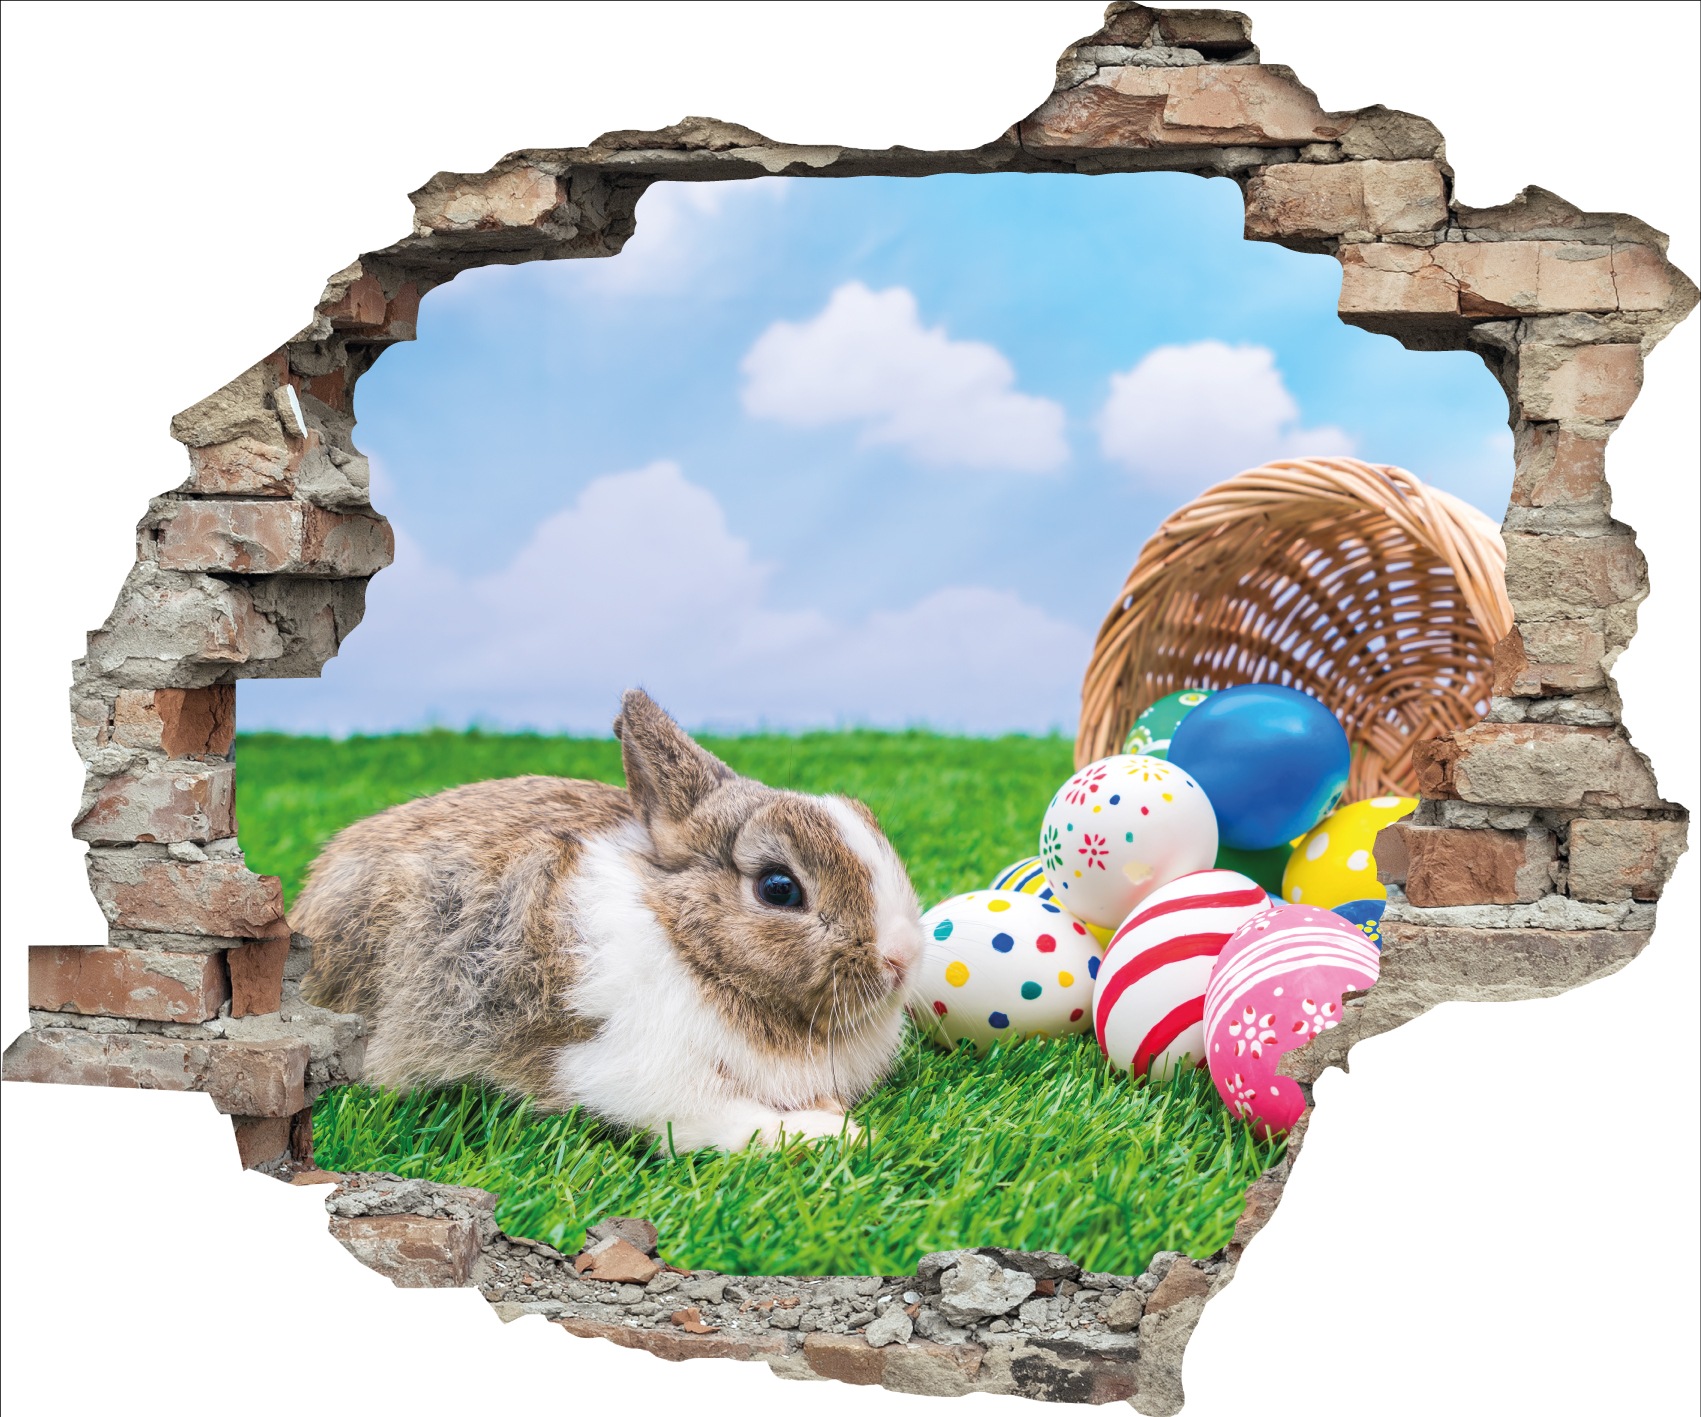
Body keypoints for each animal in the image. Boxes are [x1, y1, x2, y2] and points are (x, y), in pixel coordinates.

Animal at [295, 689, 925, 1152]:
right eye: (779, 888)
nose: (903, 956)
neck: (686, 946)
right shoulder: (623, 1068)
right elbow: (715, 1118)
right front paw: (835, 1133)